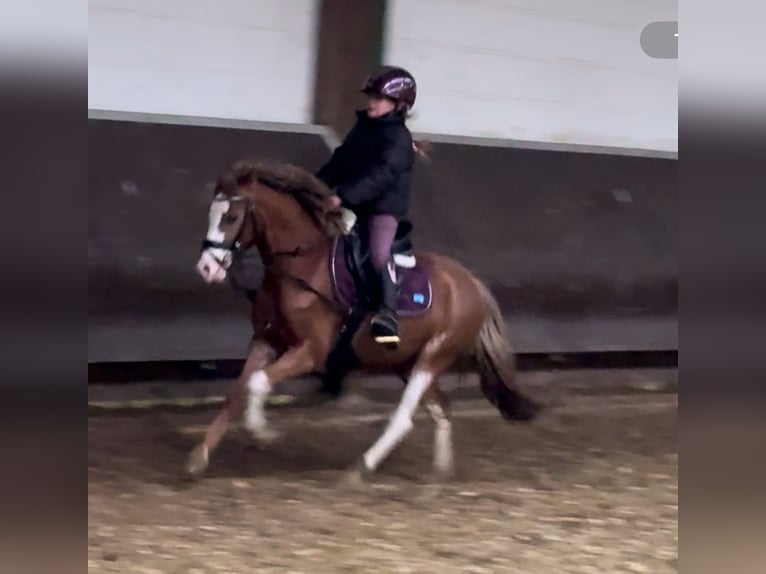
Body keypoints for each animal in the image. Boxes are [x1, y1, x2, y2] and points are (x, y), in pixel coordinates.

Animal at [190, 160, 544, 484]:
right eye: (210, 213)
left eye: (231, 217)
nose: (206, 268)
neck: (304, 266)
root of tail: (472, 283)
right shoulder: (265, 342)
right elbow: (237, 392)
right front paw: (199, 457)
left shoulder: (311, 351)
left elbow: (258, 382)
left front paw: (263, 432)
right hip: (405, 361)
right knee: (442, 409)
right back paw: (439, 475)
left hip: (433, 356)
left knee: (405, 417)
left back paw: (361, 468)